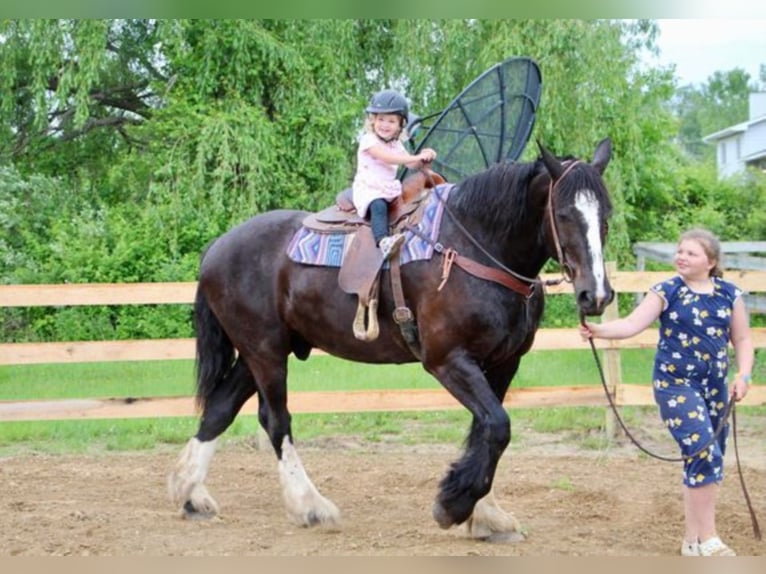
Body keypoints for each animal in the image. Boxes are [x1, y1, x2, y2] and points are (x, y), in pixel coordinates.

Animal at [170, 137, 616, 544]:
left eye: (606, 213)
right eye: (564, 213)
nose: (595, 295)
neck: (474, 249)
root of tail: (217, 248)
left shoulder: (503, 363)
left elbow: (486, 431)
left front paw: (486, 516)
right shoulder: (447, 360)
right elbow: (497, 426)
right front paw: (453, 506)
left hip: (254, 353)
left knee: (220, 410)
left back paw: (190, 494)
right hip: (265, 351)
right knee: (275, 420)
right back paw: (310, 505)